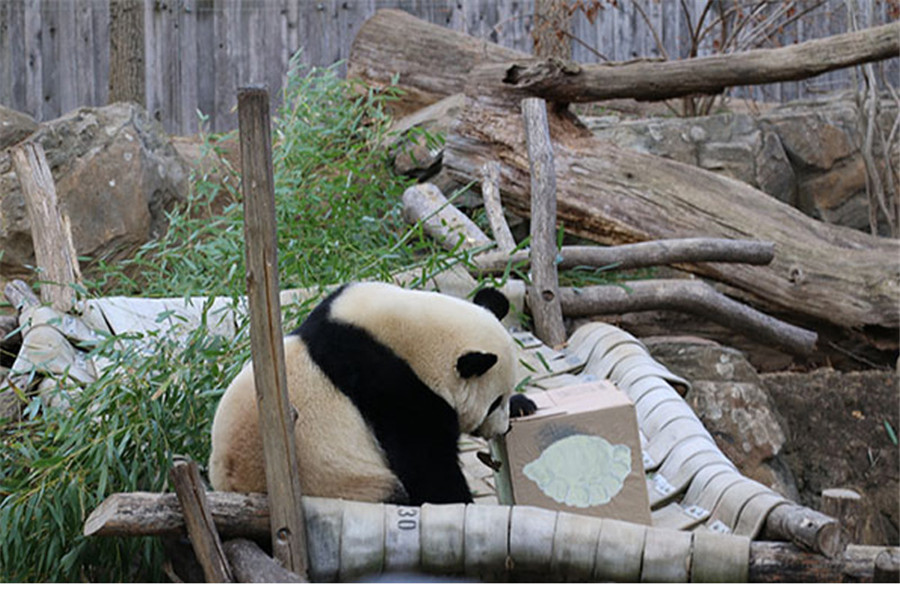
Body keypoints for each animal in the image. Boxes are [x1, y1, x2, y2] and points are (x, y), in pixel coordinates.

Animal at [209, 282, 536, 506]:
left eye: (503, 399)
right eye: (493, 403)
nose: (502, 428)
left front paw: (524, 405)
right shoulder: (395, 390)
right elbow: (425, 463)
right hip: (343, 481)